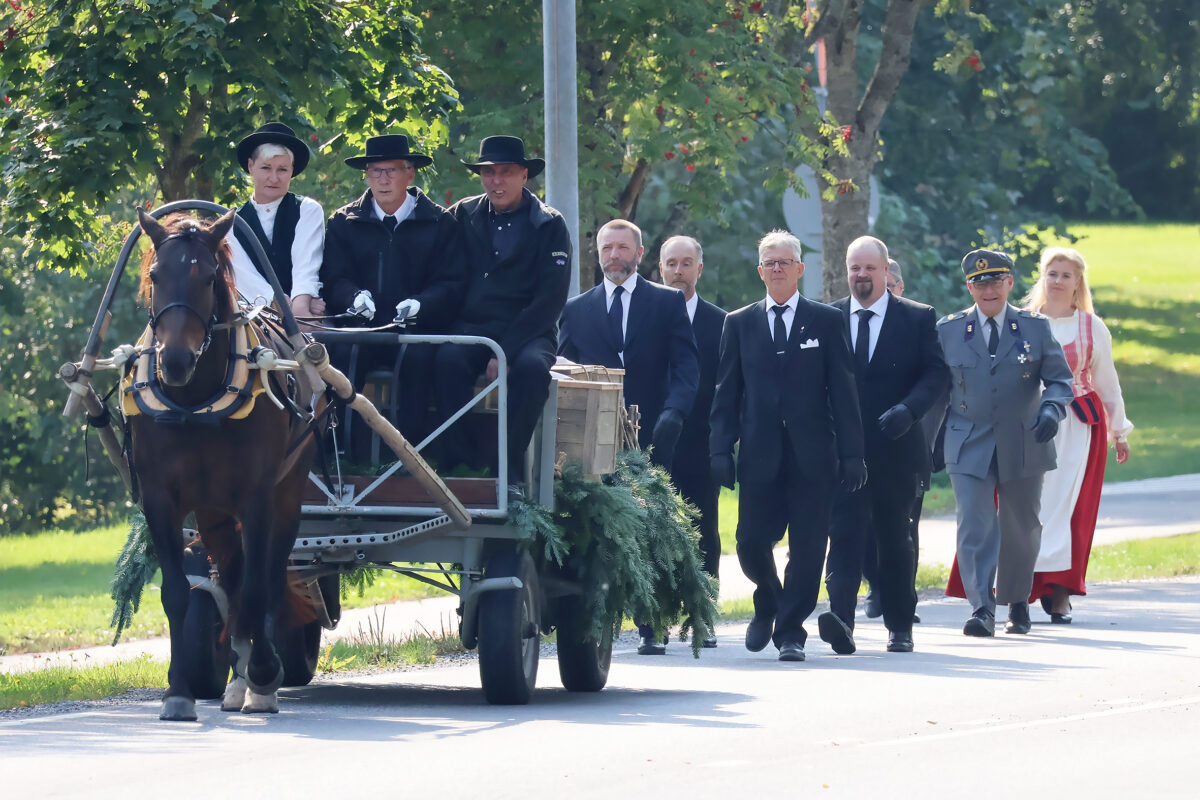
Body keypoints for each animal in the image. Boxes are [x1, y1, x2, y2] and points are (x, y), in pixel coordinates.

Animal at [129, 206, 321, 719]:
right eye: (156, 275)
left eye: (209, 276)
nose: (175, 360)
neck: (194, 401)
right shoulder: (161, 499)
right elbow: (178, 593)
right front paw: (178, 691)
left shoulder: (256, 497)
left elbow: (259, 588)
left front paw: (265, 674)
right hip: (213, 510)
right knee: (232, 578)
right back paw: (236, 676)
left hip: (287, 493)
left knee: (267, 576)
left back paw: (258, 676)